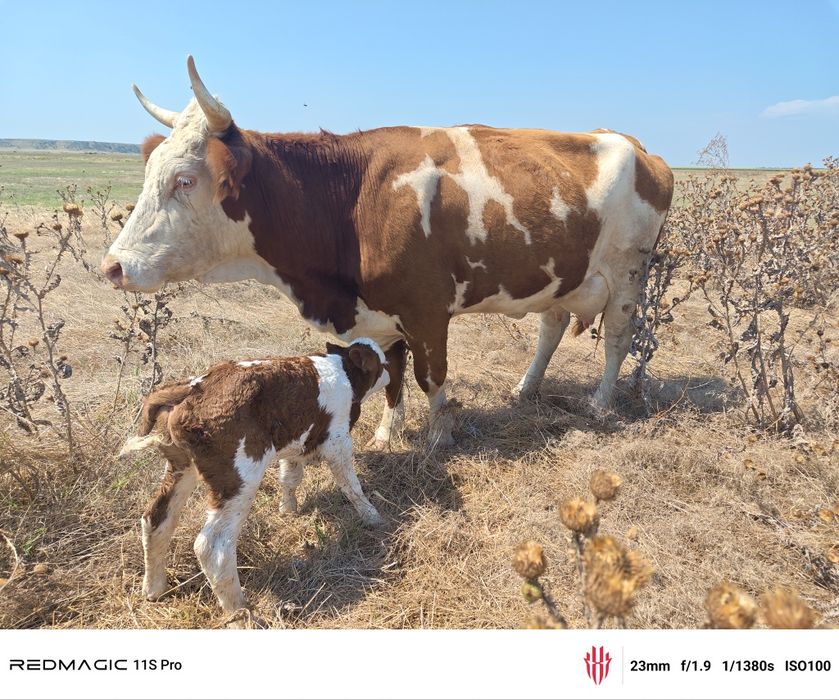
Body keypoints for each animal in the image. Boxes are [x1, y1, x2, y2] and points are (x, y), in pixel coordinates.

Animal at [101, 56, 674, 448]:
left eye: (185, 179)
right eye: (151, 173)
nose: (113, 266)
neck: (351, 199)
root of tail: (635, 145)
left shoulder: (427, 310)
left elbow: (429, 376)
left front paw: (439, 435)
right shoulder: (381, 314)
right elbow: (393, 375)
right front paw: (385, 434)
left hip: (628, 273)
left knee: (618, 339)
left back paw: (600, 404)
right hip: (561, 274)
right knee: (551, 327)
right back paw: (525, 389)